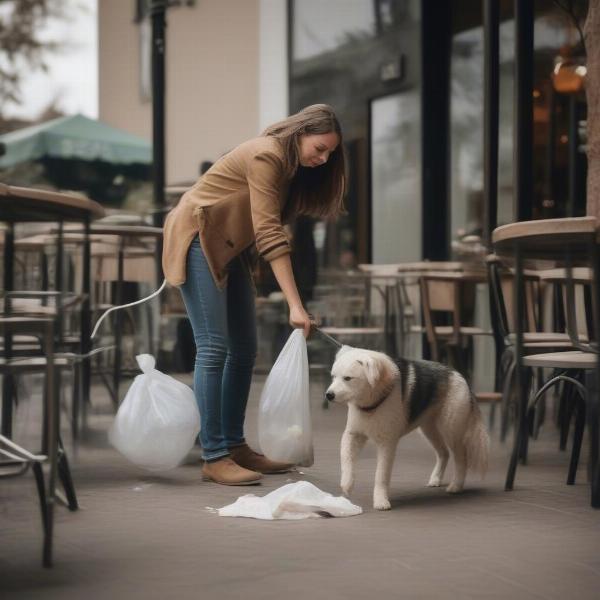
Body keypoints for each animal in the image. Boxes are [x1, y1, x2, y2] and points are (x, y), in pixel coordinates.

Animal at [326, 346, 490, 510]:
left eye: (348, 378)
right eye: (333, 377)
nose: (328, 395)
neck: (372, 403)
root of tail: (459, 376)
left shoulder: (387, 445)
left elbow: (381, 475)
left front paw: (380, 501)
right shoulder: (352, 435)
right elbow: (346, 460)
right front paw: (346, 484)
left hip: (451, 430)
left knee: (461, 458)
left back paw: (456, 485)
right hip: (429, 430)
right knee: (444, 453)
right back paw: (436, 479)